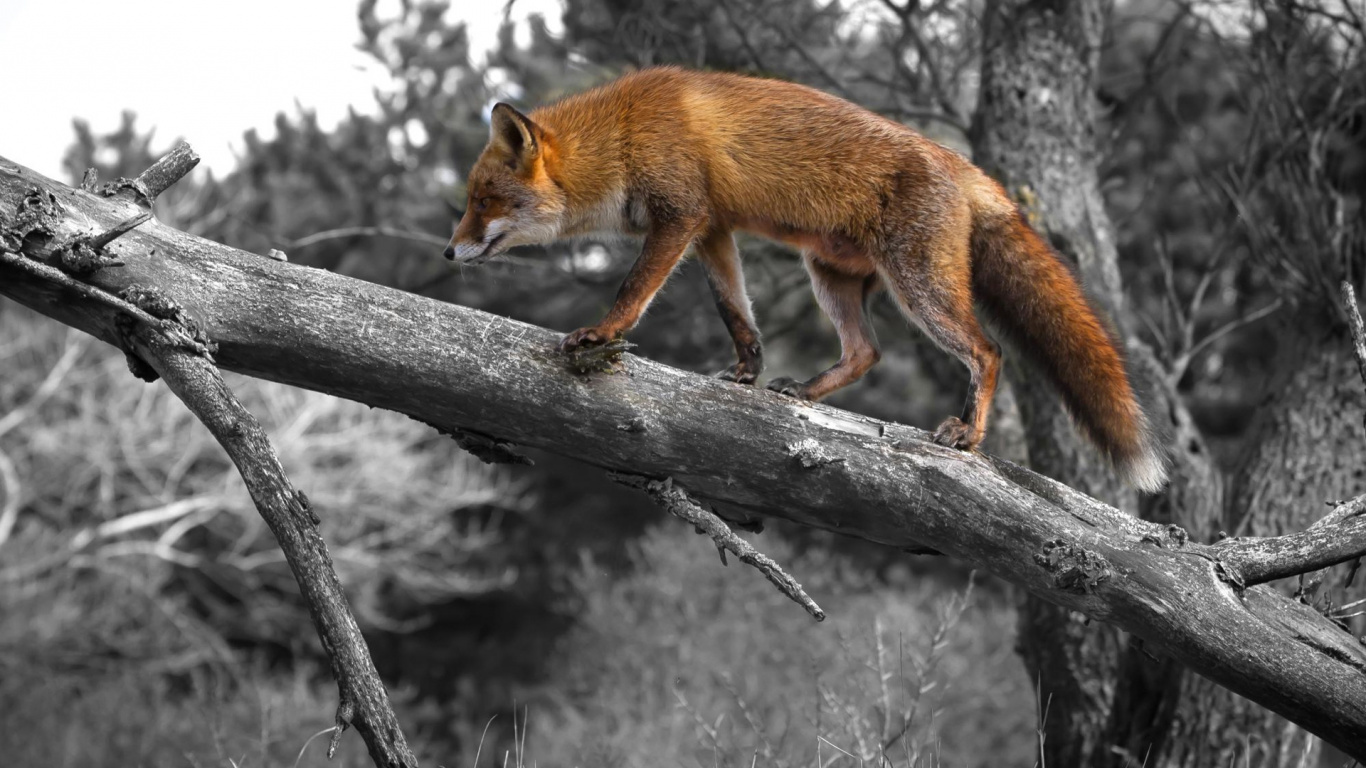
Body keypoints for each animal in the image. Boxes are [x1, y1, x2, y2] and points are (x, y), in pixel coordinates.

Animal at [445, 66, 1168, 492]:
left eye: (483, 201)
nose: (449, 253)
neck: (622, 134)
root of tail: (965, 167)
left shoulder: (680, 217)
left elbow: (632, 292)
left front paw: (600, 334)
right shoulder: (713, 229)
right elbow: (736, 312)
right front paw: (747, 372)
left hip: (919, 289)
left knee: (986, 351)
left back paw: (967, 435)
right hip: (830, 276)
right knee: (866, 352)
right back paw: (807, 393)